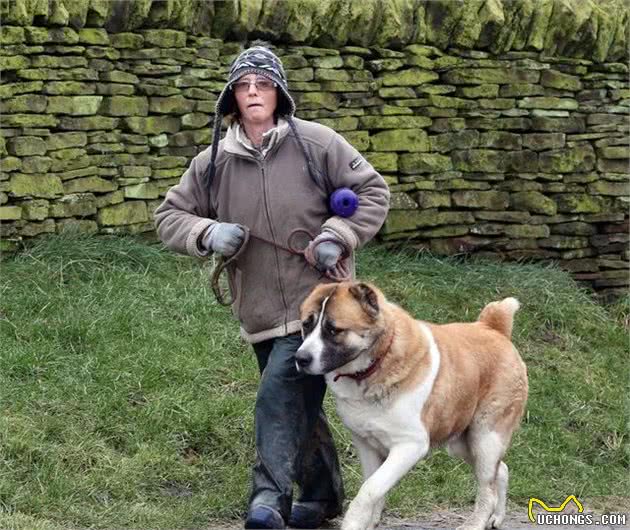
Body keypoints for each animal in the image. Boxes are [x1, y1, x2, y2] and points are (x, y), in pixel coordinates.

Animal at [296, 280, 528, 528]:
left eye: (333, 330)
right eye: (306, 325)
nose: (300, 358)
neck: (377, 363)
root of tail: (492, 327)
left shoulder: (410, 445)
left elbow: (369, 489)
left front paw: (353, 522)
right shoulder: (366, 444)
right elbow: (373, 487)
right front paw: (370, 521)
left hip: (485, 437)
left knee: (487, 487)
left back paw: (475, 523)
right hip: (463, 442)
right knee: (501, 470)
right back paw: (497, 517)